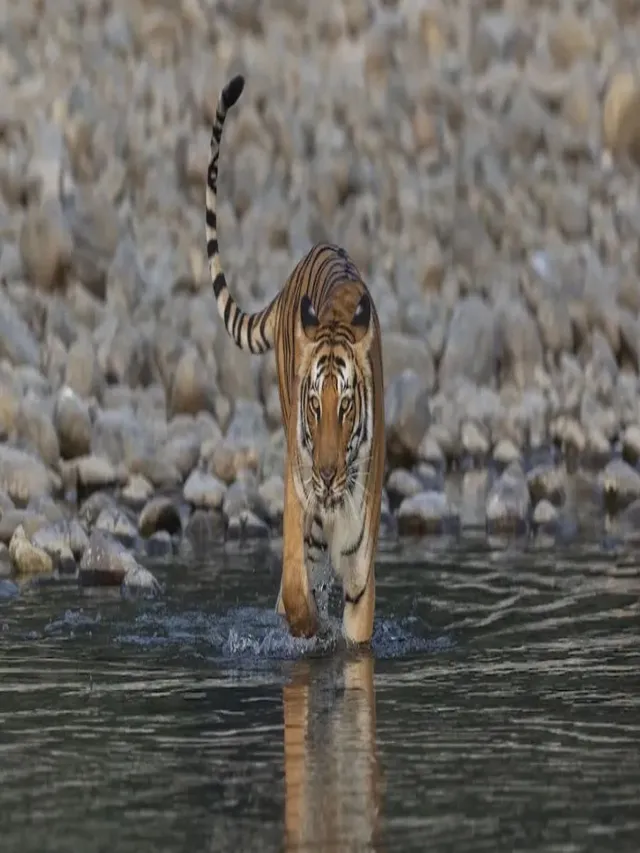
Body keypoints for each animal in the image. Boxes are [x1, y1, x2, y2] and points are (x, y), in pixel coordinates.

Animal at [204, 74, 385, 645]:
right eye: (315, 406)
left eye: (346, 407)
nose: (326, 477)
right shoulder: (297, 498)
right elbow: (294, 592)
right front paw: (307, 629)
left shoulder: (361, 568)